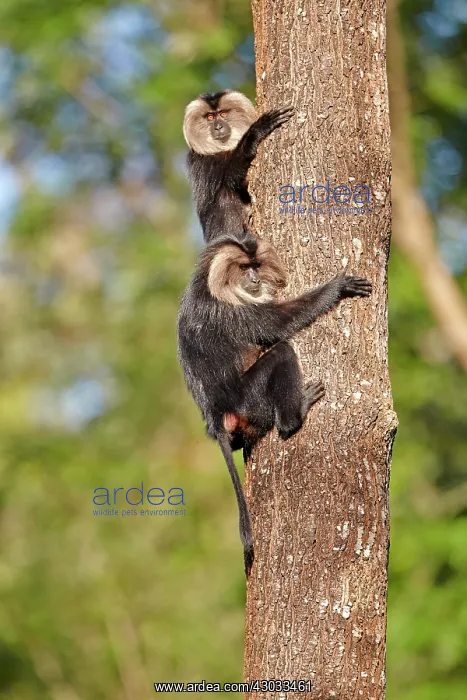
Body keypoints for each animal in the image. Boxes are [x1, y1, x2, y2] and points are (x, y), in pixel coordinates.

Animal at [177, 230, 372, 574]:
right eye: (244, 268)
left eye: (256, 266)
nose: (254, 278)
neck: (208, 286)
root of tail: (216, 414)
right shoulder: (231, 311)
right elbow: (276, 324)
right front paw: (337, 288)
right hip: (251, 398)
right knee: (281, 351)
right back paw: (296, 413)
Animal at [183, 90, 294, 242]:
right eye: (210, 117)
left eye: (223, 114)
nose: (218, 127)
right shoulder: (205, 161)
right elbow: (232, 178)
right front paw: (259, 128)